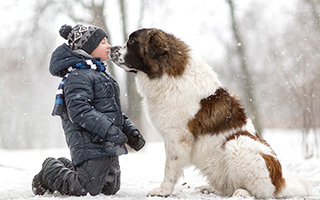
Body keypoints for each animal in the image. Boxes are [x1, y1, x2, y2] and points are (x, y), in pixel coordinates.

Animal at [110, 28, 312, 198]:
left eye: (131, 42)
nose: (111, 48)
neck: (166, 73)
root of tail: (281, 182)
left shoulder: (177, 137)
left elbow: (170, 166)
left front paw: (163, 190)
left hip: (239, 143)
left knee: (263, 192)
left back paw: (243, 192)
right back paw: (210, 188)